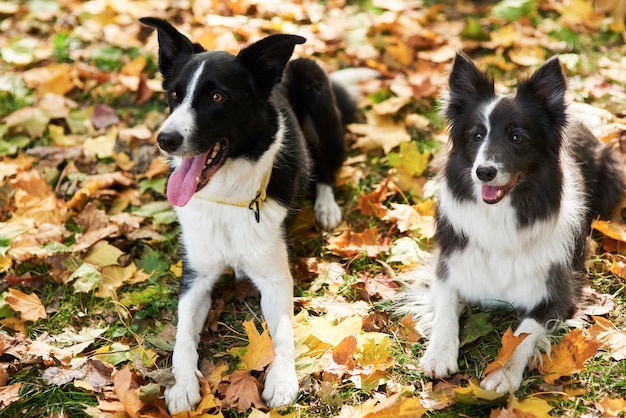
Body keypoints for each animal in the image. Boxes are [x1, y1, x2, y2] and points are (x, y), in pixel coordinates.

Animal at [139, 18, 348, 414]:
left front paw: (282, 380)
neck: (228, 198)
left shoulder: (275, 277)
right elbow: (182, 337)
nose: (165, 139)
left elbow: (282, 331)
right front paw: (182, 385)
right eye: (174, 94)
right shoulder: (196, 275)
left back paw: (326, 207)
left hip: (318, 93)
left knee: (326, 167)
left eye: (217, 98)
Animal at [398, 54, 620, 394]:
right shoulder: (449, 268)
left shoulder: (559, 294)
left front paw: (503, 374)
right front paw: (438, 354)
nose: (483, 172)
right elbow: (446, 311)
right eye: (476, 135)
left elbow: (523, 332)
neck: (500, 215)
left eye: (517, 137)